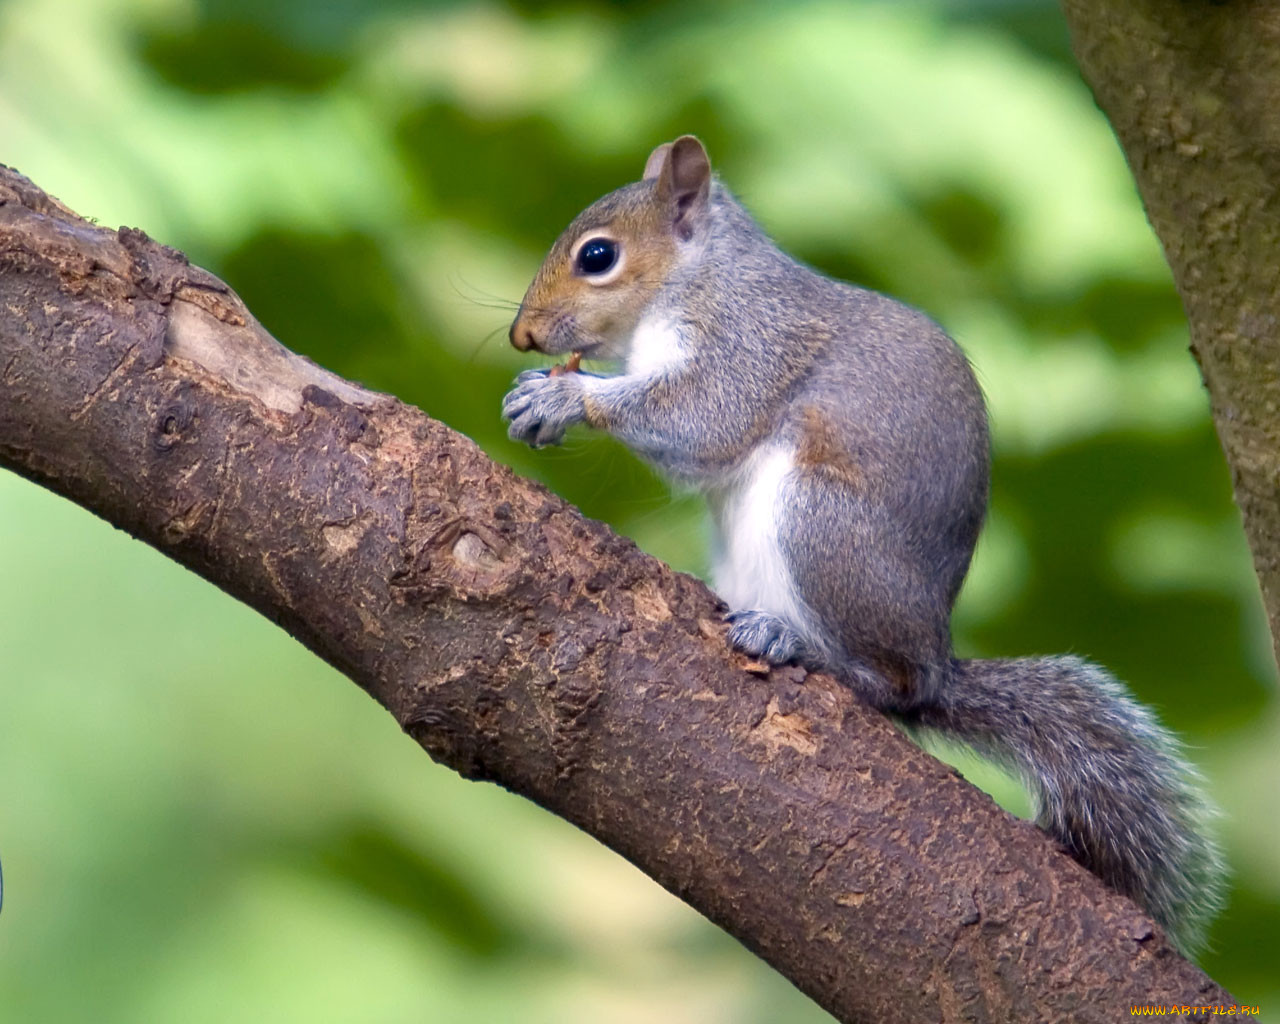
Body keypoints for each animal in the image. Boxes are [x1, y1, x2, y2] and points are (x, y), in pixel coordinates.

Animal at [496, 133, 1218, 952]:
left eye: (597, 255)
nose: (521, 335)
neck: (699, 276)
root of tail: (937, 657)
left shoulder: (750, 343)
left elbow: (704, 420)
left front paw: (562, 397)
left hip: (821, 528)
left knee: (887, 684)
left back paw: (800, 645)